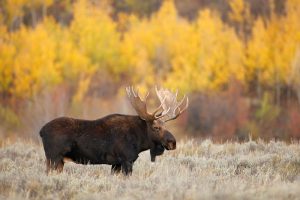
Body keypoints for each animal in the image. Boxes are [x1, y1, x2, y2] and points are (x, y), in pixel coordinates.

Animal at [39, 86, 188, 175]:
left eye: (166, 126)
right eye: (156, 127)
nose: (173, 142)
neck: (139, 142)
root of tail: (41, 131)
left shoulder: (116, 163)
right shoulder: (126, 159)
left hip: (57, 160)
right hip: (54, 157)